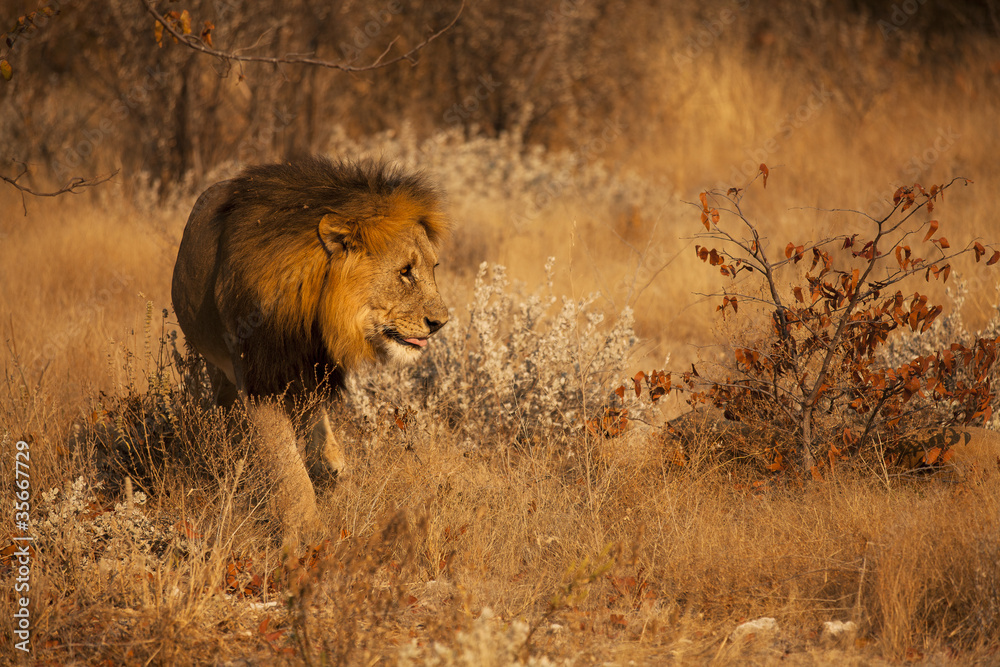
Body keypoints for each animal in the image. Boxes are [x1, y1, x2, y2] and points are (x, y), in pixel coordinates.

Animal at [171, 156, 451, 538]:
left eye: (434, 267)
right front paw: (308, 532)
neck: (315, 313)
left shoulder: (315, 370)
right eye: (405, 271)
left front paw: (329, 473)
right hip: (219, 367)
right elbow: (287, 467)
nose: (441, 322)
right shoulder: (259, 380)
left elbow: (312, 432)